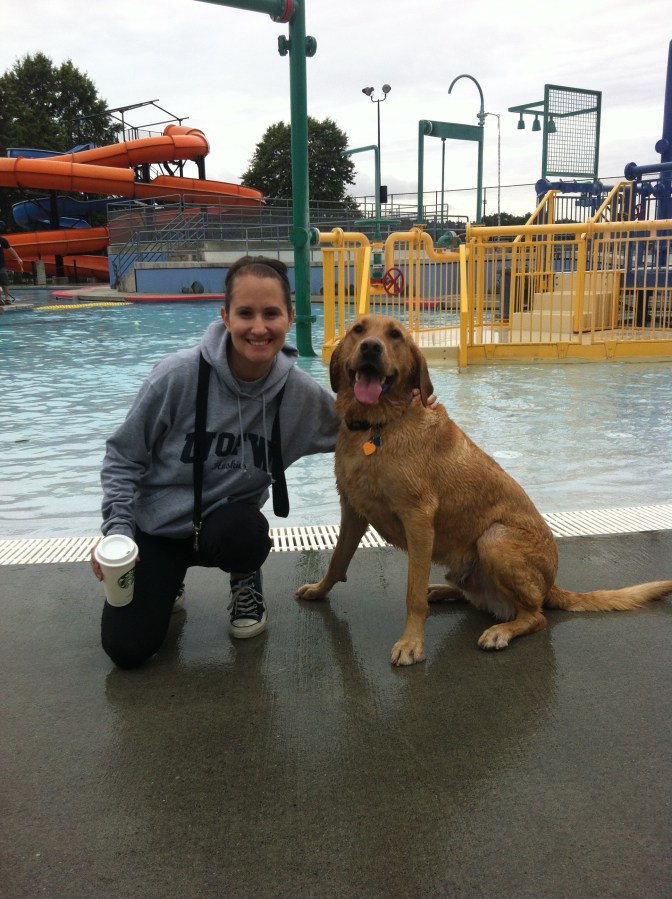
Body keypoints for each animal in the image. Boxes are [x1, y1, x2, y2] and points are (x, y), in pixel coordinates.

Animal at [296, 314, 672, 666]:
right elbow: (337, 561)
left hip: (495, 538)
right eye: (358, 330)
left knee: (536, 616)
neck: (378, 427)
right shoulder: (353, 511)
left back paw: (501, 630)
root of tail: (551, 585)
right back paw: (443, 590)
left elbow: (411, 594)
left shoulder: (418, 519)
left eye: (395, 335)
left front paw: (412, 642)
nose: (371, 347)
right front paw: (319, 589)